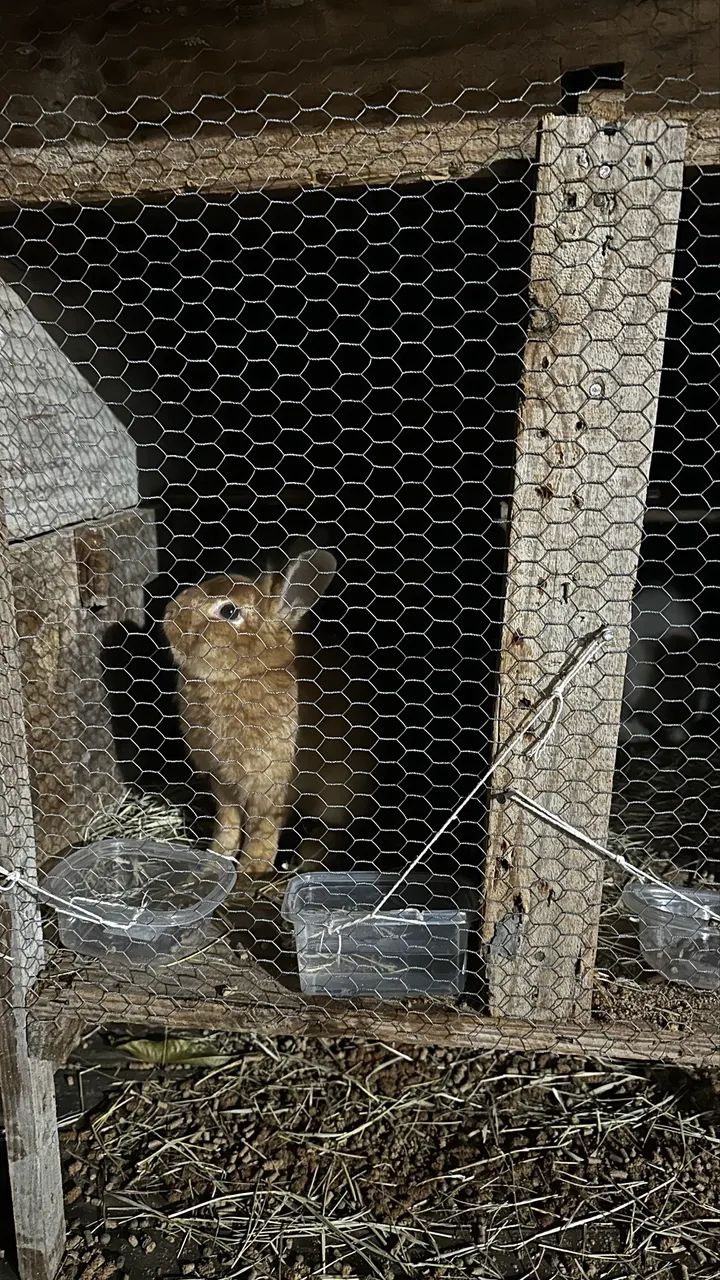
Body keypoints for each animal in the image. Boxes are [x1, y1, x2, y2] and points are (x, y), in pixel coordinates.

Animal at [163, 547, 375, 878]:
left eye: (229, 611)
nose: (169, 614)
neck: (247, 673)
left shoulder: (271, 789)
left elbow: (262, 830)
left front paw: (252, 869)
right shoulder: (223, 784)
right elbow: (228, 822)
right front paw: (217, 855)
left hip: (339, 794)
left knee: (336, 830)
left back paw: (305, 858)